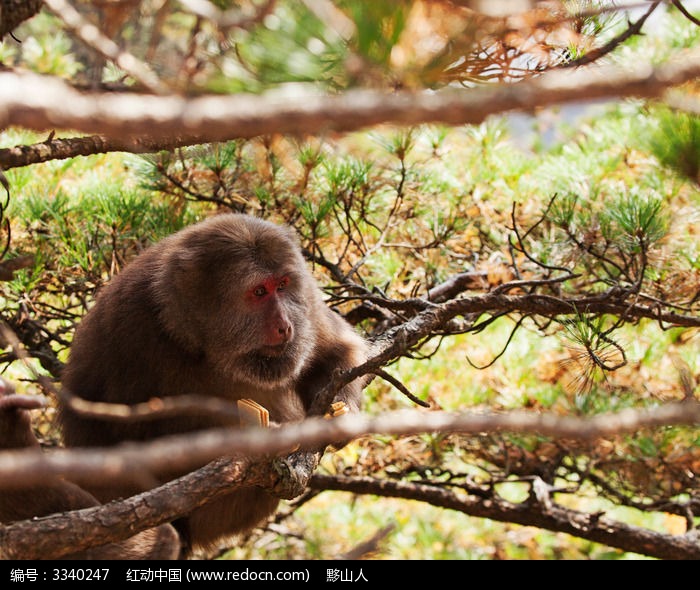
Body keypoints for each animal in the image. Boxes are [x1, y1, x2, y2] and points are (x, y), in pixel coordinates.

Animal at [58, 215, 372, 556]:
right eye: (259, 291)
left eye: (282, 285)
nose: (284, 326)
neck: (202, 345)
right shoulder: (128, 327)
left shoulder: (308, 306)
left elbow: (338, 351)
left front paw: (340, 412)